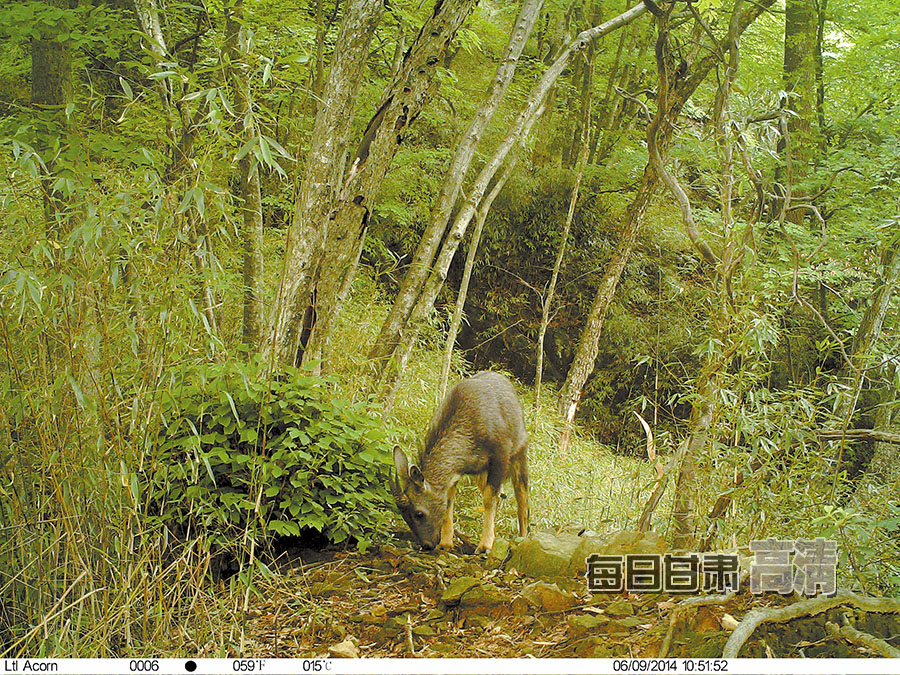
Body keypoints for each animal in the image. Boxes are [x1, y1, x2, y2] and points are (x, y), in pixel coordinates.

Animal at [390, 371, 529, 553]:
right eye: (404, 516)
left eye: (419, 513)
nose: (427, 545)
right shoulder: (456, 473)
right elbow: (449, 501)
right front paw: (446, 543)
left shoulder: (500, 455)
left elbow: (489, 499)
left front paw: (485, 546)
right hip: (482, 474)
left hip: (519, 452)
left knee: (522, 497)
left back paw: (523, 537)